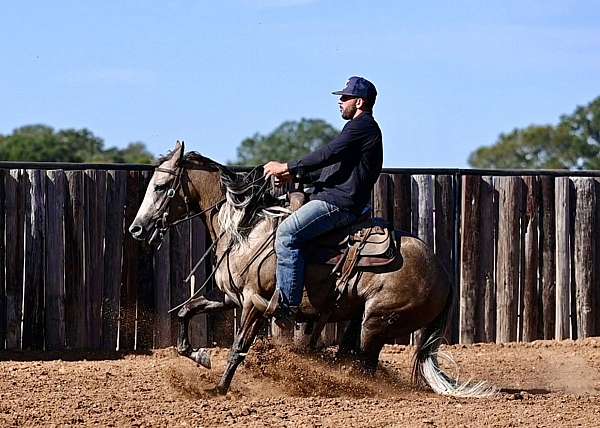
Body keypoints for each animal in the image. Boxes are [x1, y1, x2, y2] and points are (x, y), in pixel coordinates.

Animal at [129, 141, 494, 398]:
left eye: (160, 187)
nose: (136, 229)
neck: (245, 229)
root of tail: (444, 275)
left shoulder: (253, 303)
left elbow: (237, 348)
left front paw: (218, 388)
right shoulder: (232, 297)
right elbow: (186, 311)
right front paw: (200, 356)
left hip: (377, 321)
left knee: (364, 365)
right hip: (361, 319)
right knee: (352, 358)